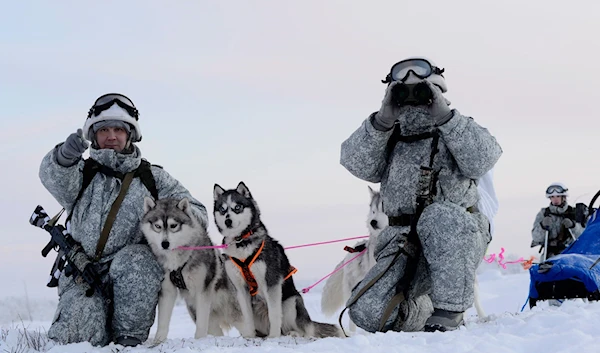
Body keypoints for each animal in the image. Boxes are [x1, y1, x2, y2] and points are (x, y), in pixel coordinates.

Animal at [141, 197, 244, 340]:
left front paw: (199, 340)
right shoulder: (167, 290)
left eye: (173, 225)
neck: (178, 262)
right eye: (157, 226)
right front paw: (158, 341)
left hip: (237, 314)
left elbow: (201, 324)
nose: (165, 244)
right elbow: (162, 322)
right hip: (204, 316)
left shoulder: (202, 291)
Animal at [212, 182, 342, 338]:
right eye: (222, 209)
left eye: (237, 207)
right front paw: (249, 336)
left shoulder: (271, 283)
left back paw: (293, 333)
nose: (228, 221)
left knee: (304, 331)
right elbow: (247, 317)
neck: (241, 242)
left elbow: (274, 315)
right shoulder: (241, 289)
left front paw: (273, 336)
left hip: (291, 302)